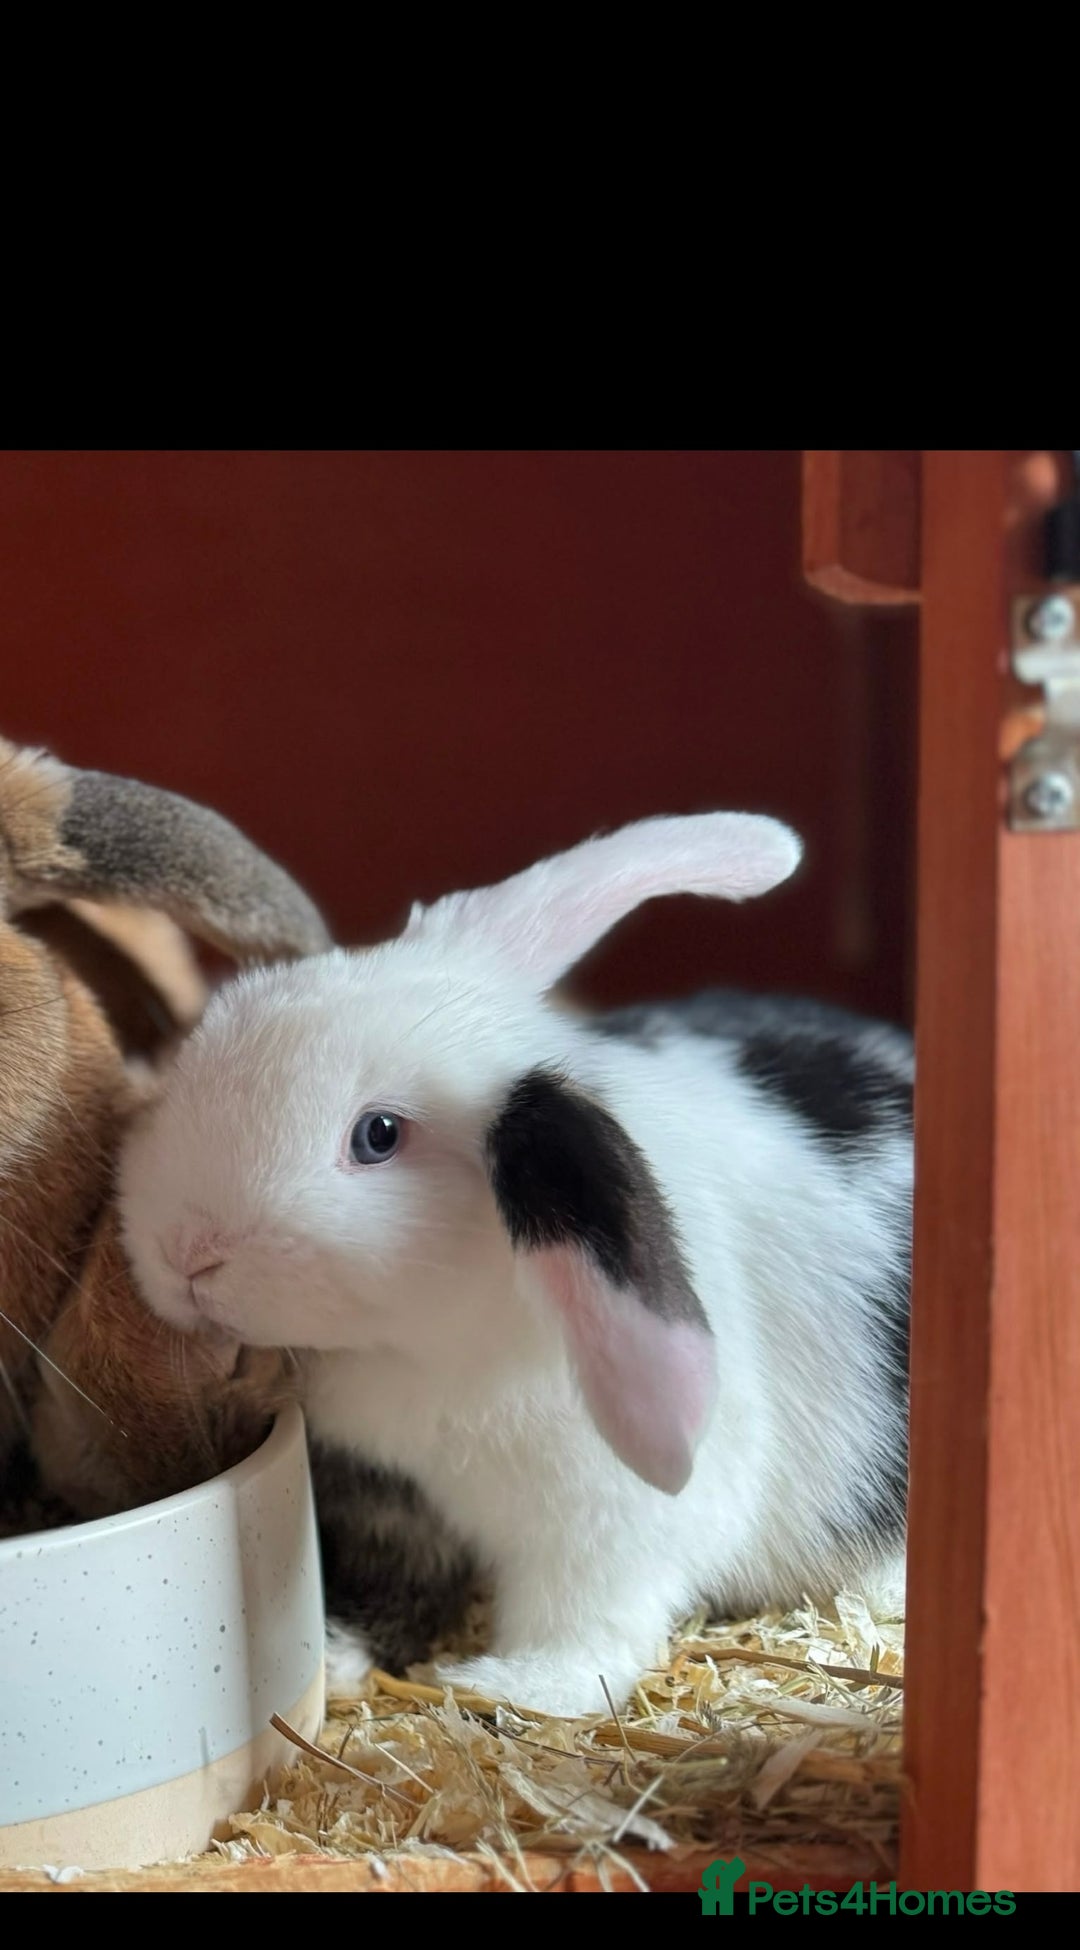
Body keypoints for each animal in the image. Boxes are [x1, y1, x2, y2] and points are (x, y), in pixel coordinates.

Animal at [118, 813, 912, 1718]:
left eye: (378, 1136)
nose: (184, 1252)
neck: (424, 1357)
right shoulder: (385, 1496)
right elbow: (393, 1577)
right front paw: (343, 1656)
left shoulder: (604, 1532)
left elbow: (586, 1628)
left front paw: (507, 1686)